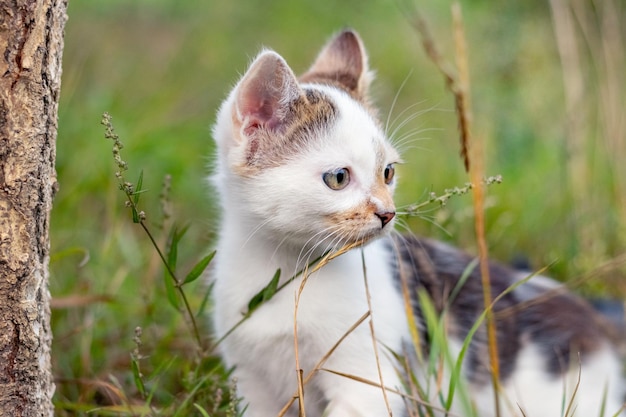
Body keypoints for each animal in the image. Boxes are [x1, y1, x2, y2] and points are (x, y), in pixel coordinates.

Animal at [208, 30, 620, 416]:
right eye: (338, 178)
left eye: (387, 172)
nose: (387, 213)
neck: (284, 269)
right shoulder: (249, 379)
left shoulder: (369, 378)